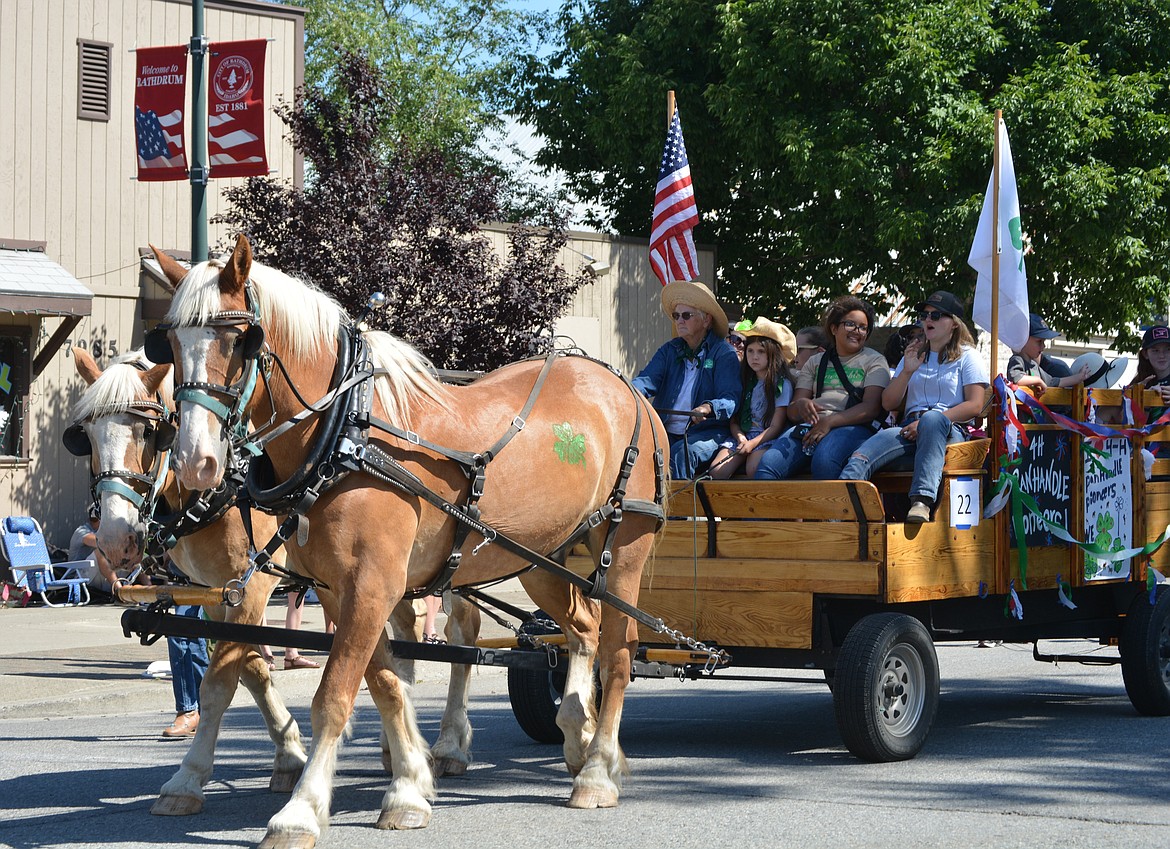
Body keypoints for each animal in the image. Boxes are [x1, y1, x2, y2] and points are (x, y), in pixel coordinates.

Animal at [148, 233, 669, 849]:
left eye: (237, 340)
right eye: (169, 343)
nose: (195, 462)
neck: (345, 430)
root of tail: (623, 385)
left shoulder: (371, 582)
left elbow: (334, 696)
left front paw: (300, 810)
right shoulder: (338, 588)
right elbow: (385, 684)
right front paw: (408, 788)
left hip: (626, 549)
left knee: (618, 652)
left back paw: (598, 770)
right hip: (544, 558)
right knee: (583, 630)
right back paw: (575, 736)